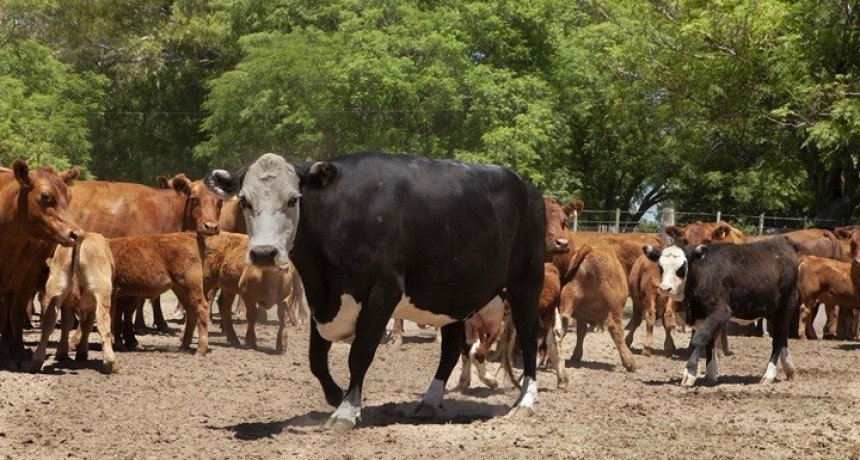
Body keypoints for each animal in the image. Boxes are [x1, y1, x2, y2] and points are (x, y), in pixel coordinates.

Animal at [0, 160, 81, 368]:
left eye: (69, 196)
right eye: (45, 196)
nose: (76, 234)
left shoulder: (28, 275)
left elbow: (17, 314)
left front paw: (19, 352)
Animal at [30, 234, 115, 374]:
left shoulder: (66, 304)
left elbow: (67, 324)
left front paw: (62, 353)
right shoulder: (91, 306)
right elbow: (87, 326)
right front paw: (82, 352)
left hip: (56, 287)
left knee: (49, 321)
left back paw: (37, 361)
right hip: (101, 292)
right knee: (103, 321)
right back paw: (110, 362)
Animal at [207, 153, 544, 430]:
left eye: (293, 200)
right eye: (244, 201)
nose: (264, 253)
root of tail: (529, 188)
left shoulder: (382, 292)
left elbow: (359, 354)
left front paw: (346, 410)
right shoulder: (322, 301)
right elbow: (316, 358)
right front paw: (336, 395)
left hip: (525, 284)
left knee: (529, 338)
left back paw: (525, 402)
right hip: (452, 296)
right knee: (450, 348)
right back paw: (430, 400)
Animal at [644, 239, 800, 386]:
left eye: (682, 267)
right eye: (660, 266)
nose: (665, 288)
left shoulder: (719, 312)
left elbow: (699, 338)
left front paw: (690, 374)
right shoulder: (703, 315)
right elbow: (708, 341)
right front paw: (711, 375)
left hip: (785, 307)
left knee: (778, 339)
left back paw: (769, 375)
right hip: (772, 311)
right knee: (782, 336)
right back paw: (789, 368)